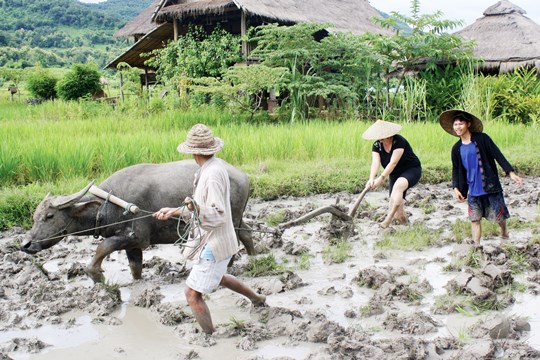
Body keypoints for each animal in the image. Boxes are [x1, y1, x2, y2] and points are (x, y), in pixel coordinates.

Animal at [21, 160, 255, 282]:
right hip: (237, 218)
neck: (109, 204)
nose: (26, 244)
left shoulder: (136, 238)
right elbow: (135, 268)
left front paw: (95, 273)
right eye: (34, 217)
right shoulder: (132, 247)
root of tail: (243, 175)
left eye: (49, 216)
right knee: (246, 233)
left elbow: (103, 247)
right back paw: (253, 258)